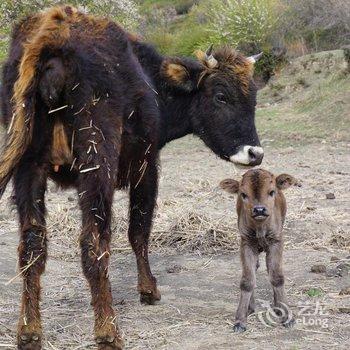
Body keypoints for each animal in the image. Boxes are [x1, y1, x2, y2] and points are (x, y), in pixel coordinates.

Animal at [0, 5, 262, 350]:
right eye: (221, 96)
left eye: (253, 98)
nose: (255, 153)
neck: (152, 80)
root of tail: (55, 30)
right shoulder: (147, 168)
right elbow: (139, 230)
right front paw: (149, 289)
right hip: (97, 166)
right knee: (94, 244)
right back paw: (107, 331)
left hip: (29, 168)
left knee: (32, 246)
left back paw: (29, 331)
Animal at [220, 168, 296, 332]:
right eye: (243, 194)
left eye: (272, 191)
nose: (259, 209)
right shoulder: (246, 244)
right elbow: (248, 280)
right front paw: (240, 320)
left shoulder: (276, 242)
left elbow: (277, 277)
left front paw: (287, 316)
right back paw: (250, 307)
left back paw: (277, 306)